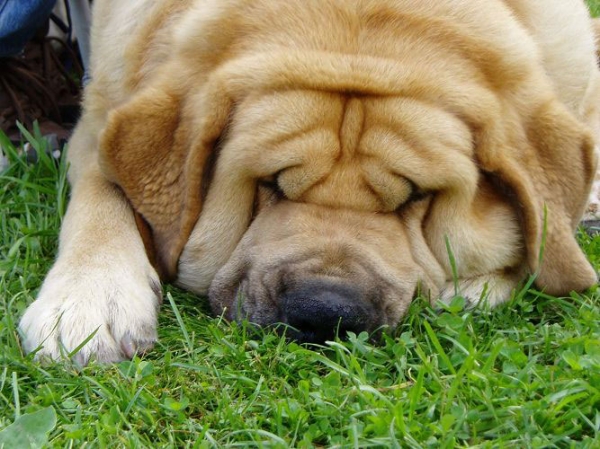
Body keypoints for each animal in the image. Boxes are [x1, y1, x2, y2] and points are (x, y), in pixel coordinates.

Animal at [18, 0, 600, 362]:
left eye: (414, 196)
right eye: (272, 183)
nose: (327, 311)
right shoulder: (101, 116)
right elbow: (105, 190)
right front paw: (89, 300)